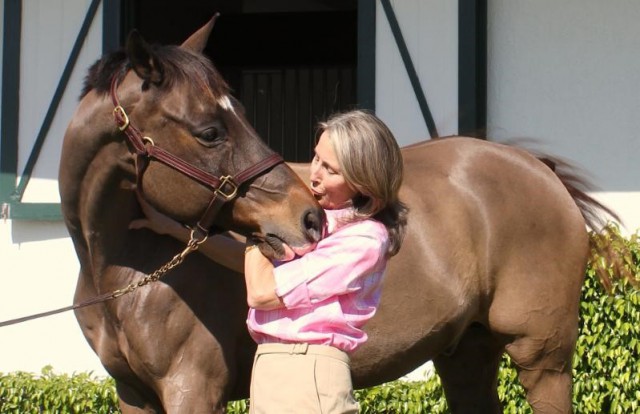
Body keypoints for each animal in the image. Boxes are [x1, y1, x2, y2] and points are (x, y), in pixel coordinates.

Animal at [61, 17, 636, 414]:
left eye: (237, 115)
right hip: (467, 355)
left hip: (542, 358)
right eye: (210, 131)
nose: (308, 219)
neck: (127, 270)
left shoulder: (193, 389)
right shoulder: (135, 394)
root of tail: (541, 171)